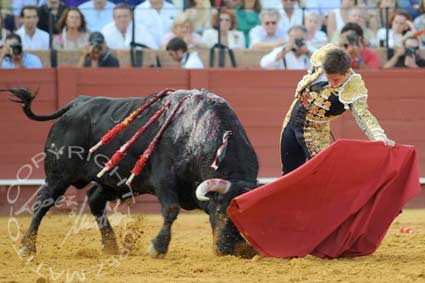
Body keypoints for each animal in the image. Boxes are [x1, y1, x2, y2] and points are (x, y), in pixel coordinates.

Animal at [6, 89, 258, 260]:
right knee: (43, 202)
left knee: (94, 199)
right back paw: (27, 247)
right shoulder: (164, 180)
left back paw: (111, 247)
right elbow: (171, 210)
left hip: (111, 181)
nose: (238, 250)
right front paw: (157, 248)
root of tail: (77, 103)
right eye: (221, 210)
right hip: (58, 175)